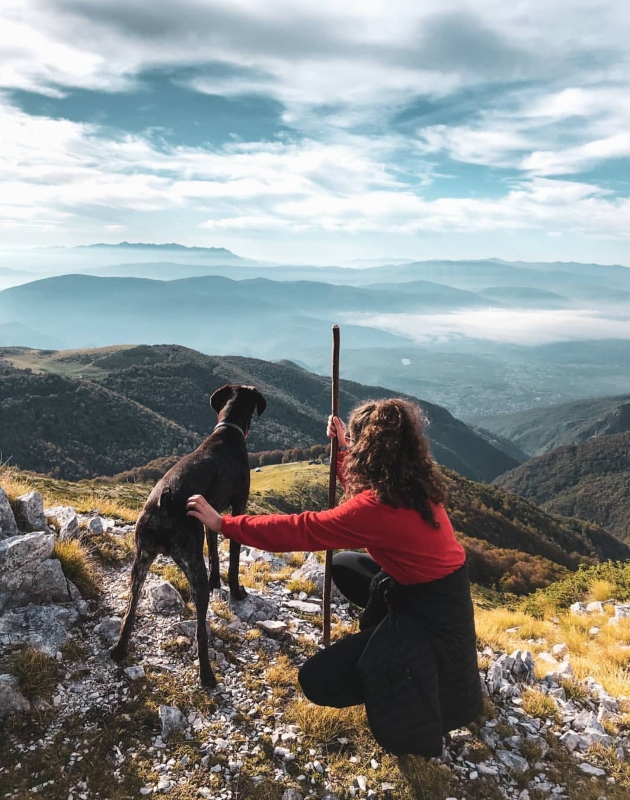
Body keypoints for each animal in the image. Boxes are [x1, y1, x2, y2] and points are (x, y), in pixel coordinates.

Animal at [111, 384, 266, 684]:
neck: (227, 430)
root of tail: (165, 502)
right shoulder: (238, 505)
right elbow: (233, 559)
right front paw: (236, 591)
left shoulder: (211, 516)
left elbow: (215, 552)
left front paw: (217, 580)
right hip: (192, 567)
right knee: (200, 630)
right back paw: (207, 675)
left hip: (140, 562)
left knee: (130, 611)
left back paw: (119, 649)